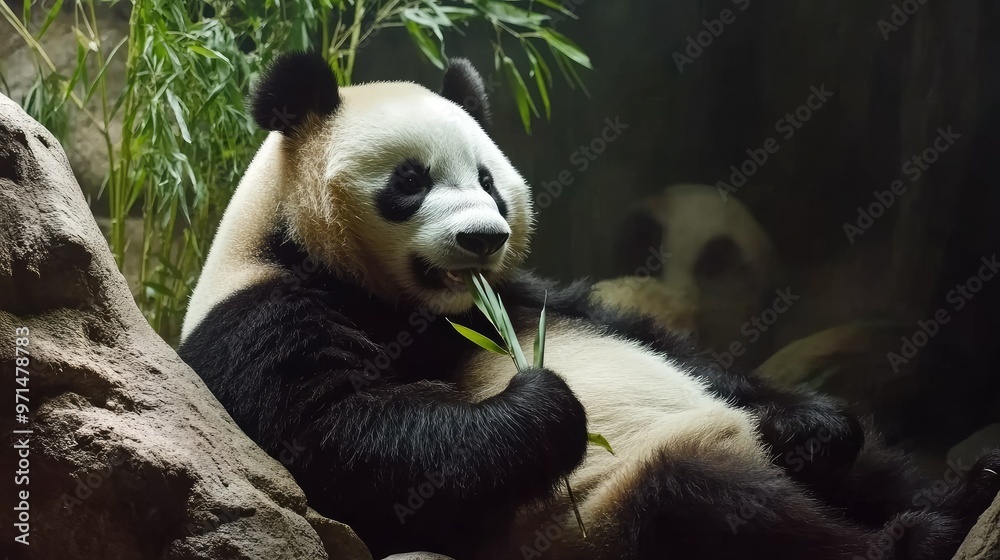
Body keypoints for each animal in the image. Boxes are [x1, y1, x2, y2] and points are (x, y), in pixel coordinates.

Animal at [177, 52, 1000, 560]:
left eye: (487, 178)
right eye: (410, 180)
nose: (483, 237)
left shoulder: (525, 293)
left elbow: (641, 333)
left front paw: (814, 420)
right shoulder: (264, 317)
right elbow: (346, 440)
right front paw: (546, 404)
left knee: (872, 469)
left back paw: (960, 490)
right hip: (610, 515)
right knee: (718, 511)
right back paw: (914, 536)